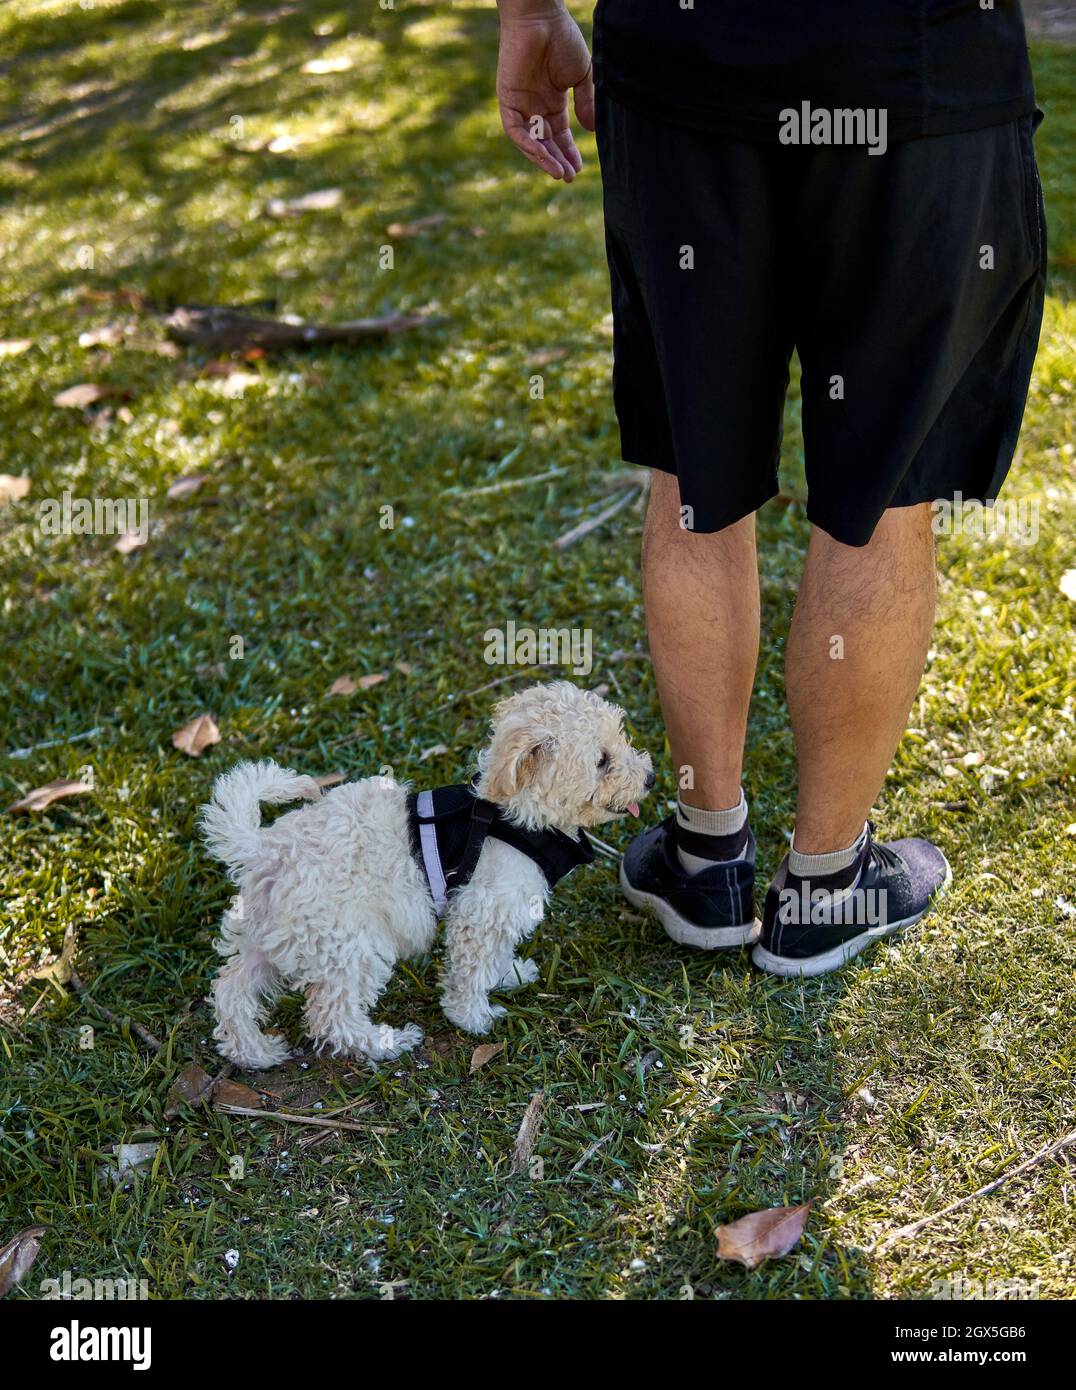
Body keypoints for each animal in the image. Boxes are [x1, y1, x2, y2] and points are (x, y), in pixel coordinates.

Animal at [205, 681, 653, 1061]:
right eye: (602, 760)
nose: (649, 778)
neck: (511, 817)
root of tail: (263, 850)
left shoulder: (498, 910)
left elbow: (496, 955)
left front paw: (507, 976)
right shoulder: (481, 909)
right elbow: (471, 970)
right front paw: (473, 1017)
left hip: (270, 936)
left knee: (230, 989)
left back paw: (254, 1053)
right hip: (351, 945)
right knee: (332, 1015)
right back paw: (385, 1043)